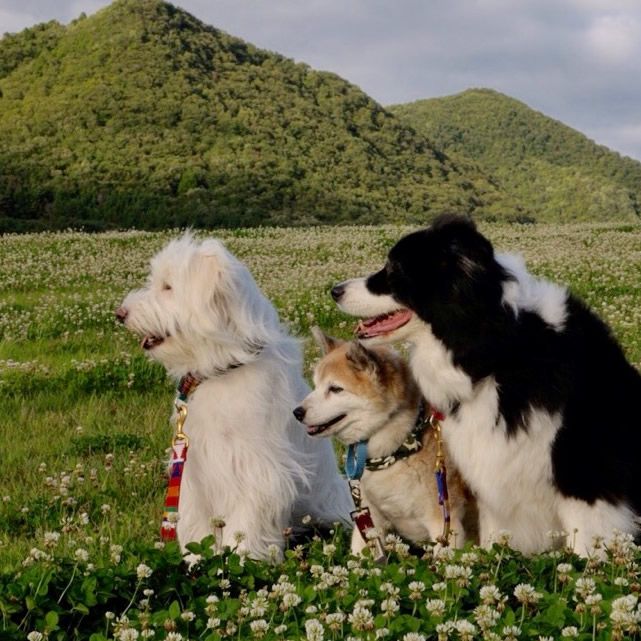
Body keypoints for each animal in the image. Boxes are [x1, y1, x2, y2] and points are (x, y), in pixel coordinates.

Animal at [117, 232, 352, 556]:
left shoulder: (257, 469)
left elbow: (245, 524)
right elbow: (197, 523)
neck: (223, 368)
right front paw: (196, 558)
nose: (120, 314)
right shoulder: (196, 469)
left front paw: (241, 557)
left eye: (168, 287)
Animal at [292, 328, 468, 552]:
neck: (400, 448)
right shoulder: (369, 520)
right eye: (315, 386)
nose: (297, 412)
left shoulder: (446, 524)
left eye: (335, 389)